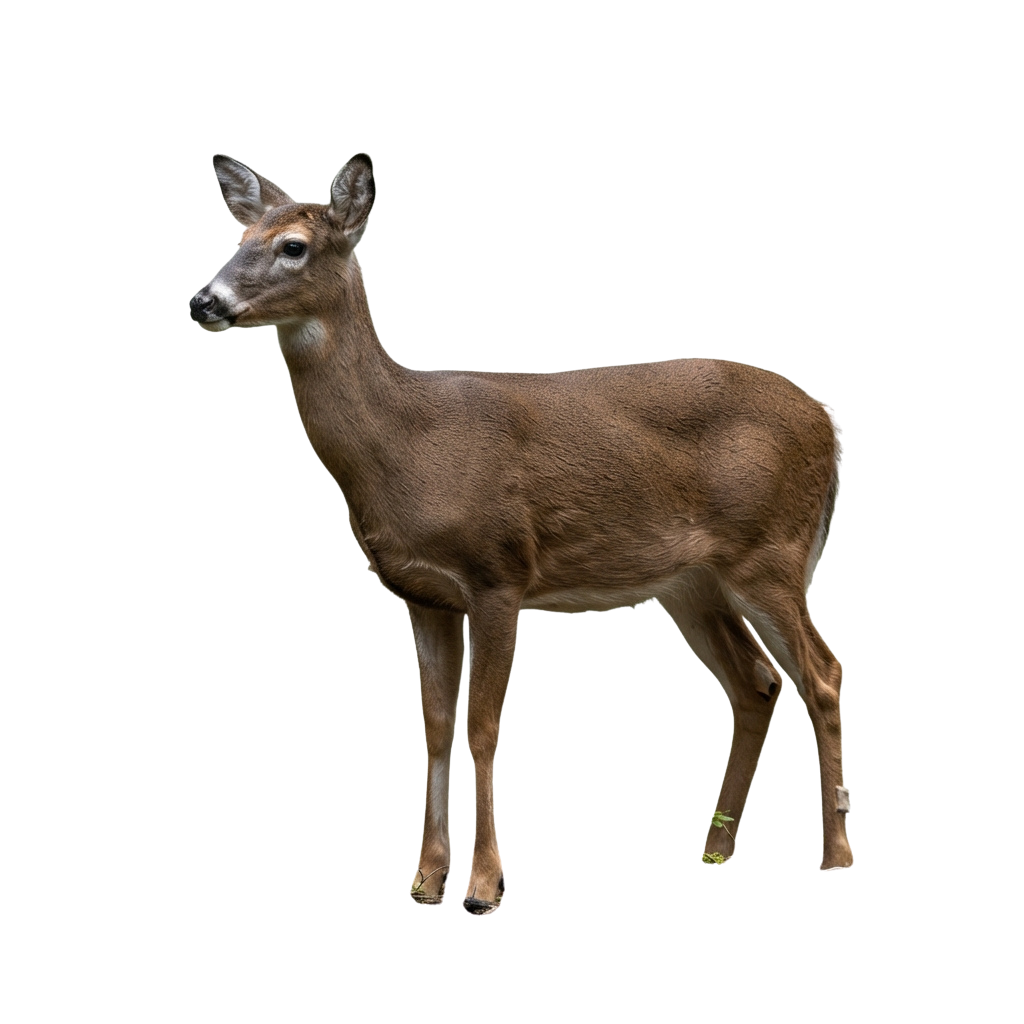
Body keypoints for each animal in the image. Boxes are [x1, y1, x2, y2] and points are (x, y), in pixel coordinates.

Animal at [189, 153, 853, 913]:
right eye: (241, 236)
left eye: (294, 245)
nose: (204, 301)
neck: (409, 444)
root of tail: (827, 417)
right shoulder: (423, 596)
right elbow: (435, 728)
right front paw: (425, 879)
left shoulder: (499, 573)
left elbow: (483, 728)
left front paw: (484, 884)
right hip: (692, 583)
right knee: (758, 682)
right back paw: (716, 847)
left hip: (771, 552)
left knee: (822, 673)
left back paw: (835, 854)